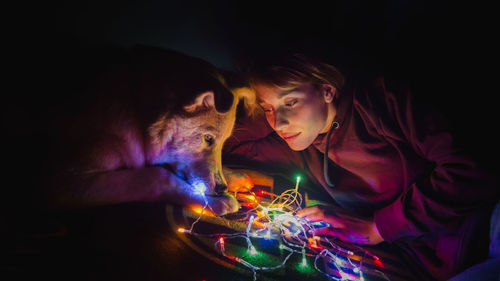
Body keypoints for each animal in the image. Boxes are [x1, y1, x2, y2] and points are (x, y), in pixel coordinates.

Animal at [32, 44, 254, 214]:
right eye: (208, 138)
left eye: (223, 142)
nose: (222, 188)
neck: (137, 111)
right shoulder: (60, 183)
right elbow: (156, 176)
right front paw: (215, 201)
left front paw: (233, 175)